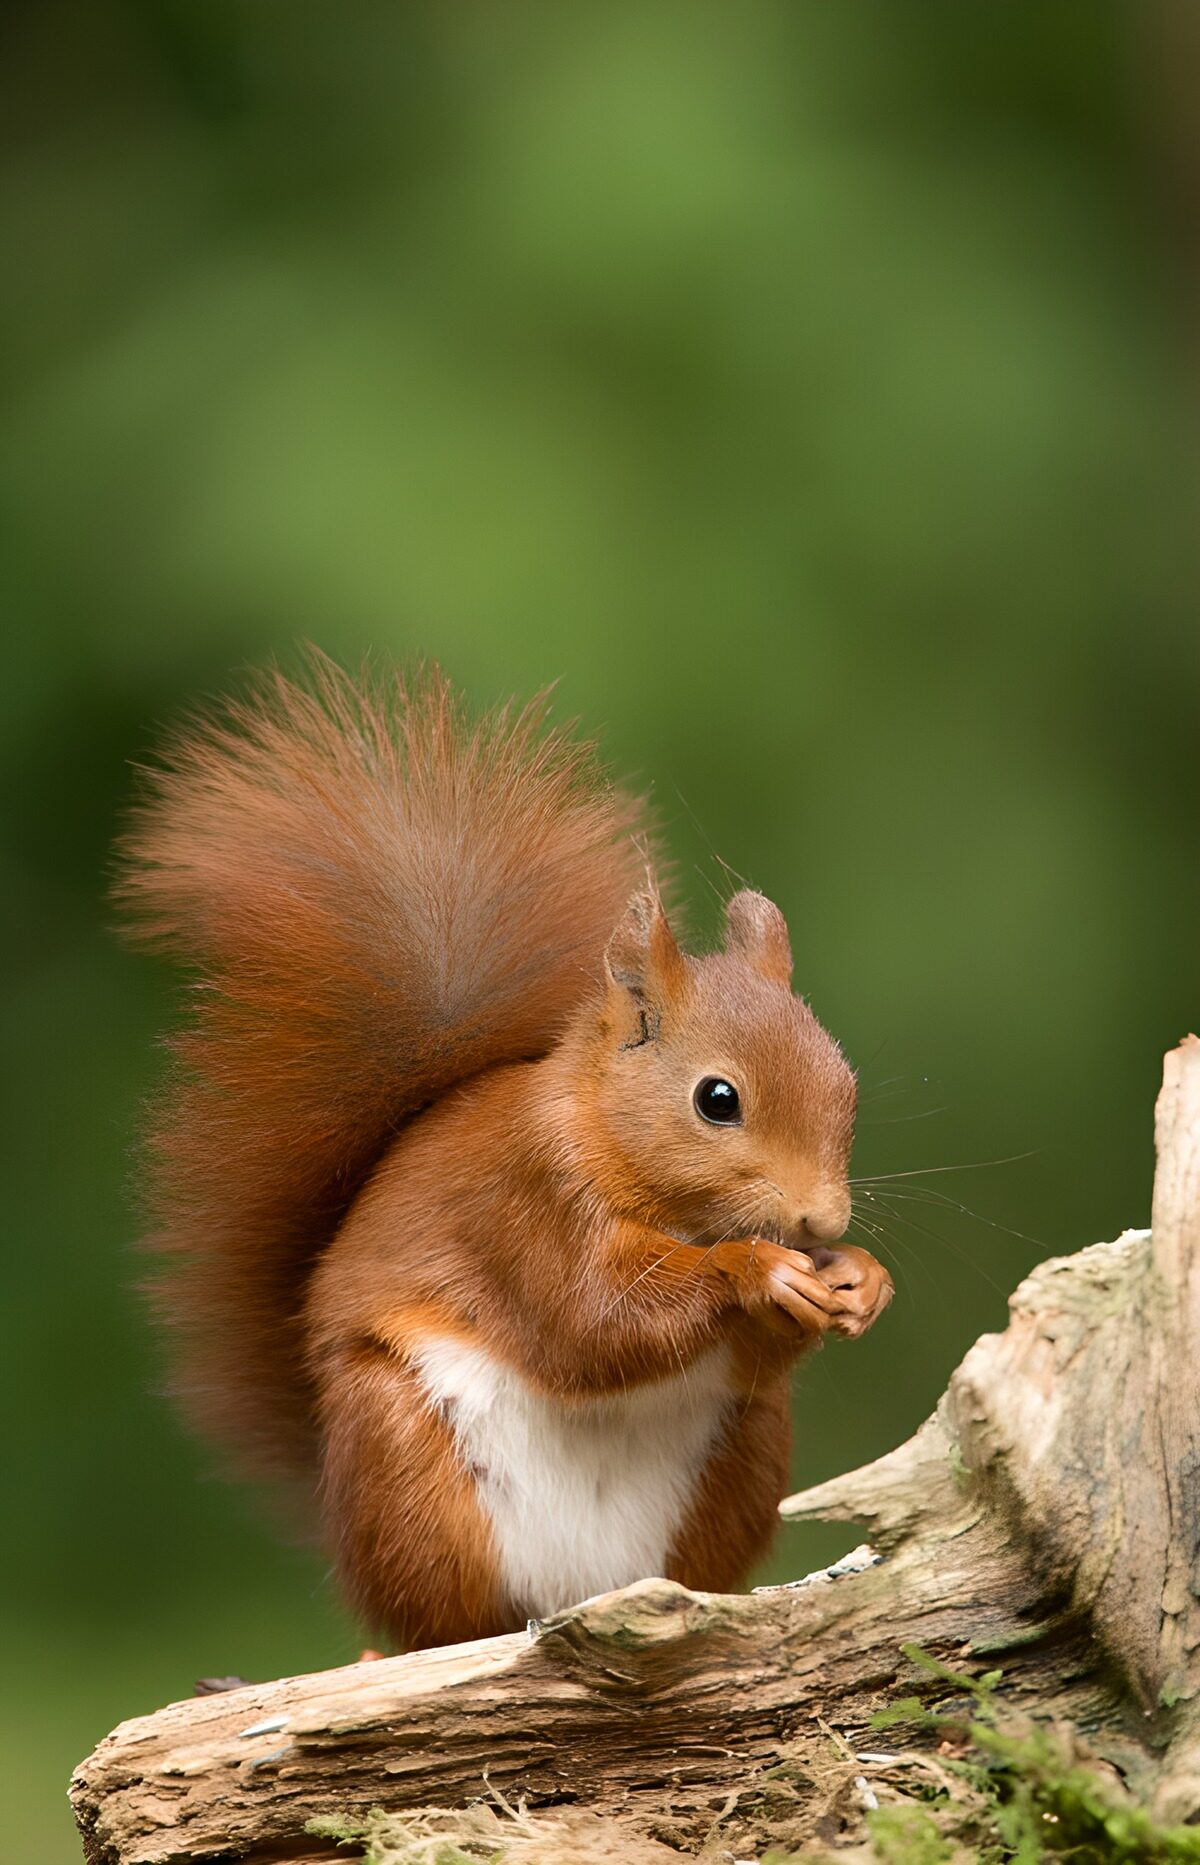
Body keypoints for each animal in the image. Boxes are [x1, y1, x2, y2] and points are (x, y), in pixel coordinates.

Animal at [117, 653, 892, 1652]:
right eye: (717, 1099)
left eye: (848, 1084)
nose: (820, 1218)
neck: (606, 1134)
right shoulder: (526, 1200)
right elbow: (593, 1322)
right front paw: (757, 1266)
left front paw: (861, 1278)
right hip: (406, 1460)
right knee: (436, 1619)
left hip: (742, 1458)